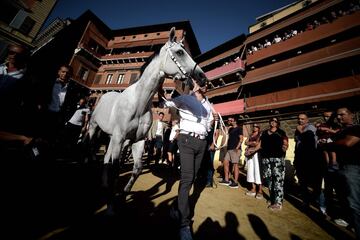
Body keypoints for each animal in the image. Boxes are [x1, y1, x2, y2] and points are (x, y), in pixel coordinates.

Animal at [87, 27, 208, 193]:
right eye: (179, 52)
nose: (203, 78)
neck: (138, 104)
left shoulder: (137, 140)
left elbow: (137, 168)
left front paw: (125, 191)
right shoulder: (120, 138)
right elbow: (115, 167)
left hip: (112, 138)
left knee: (106, 157)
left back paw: (104, 183)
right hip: (95, 128)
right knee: (90, 148)